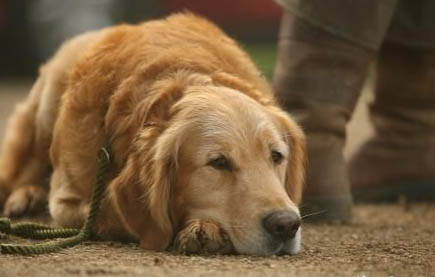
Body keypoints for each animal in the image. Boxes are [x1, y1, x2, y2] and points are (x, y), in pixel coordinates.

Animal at [0, 12, 306, 254]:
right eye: (219, 162)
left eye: (276, 156)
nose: (286, 224)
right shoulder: (67, 200)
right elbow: (109, 215)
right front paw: (200, 228)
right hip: (47, 103)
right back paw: (26, 196)